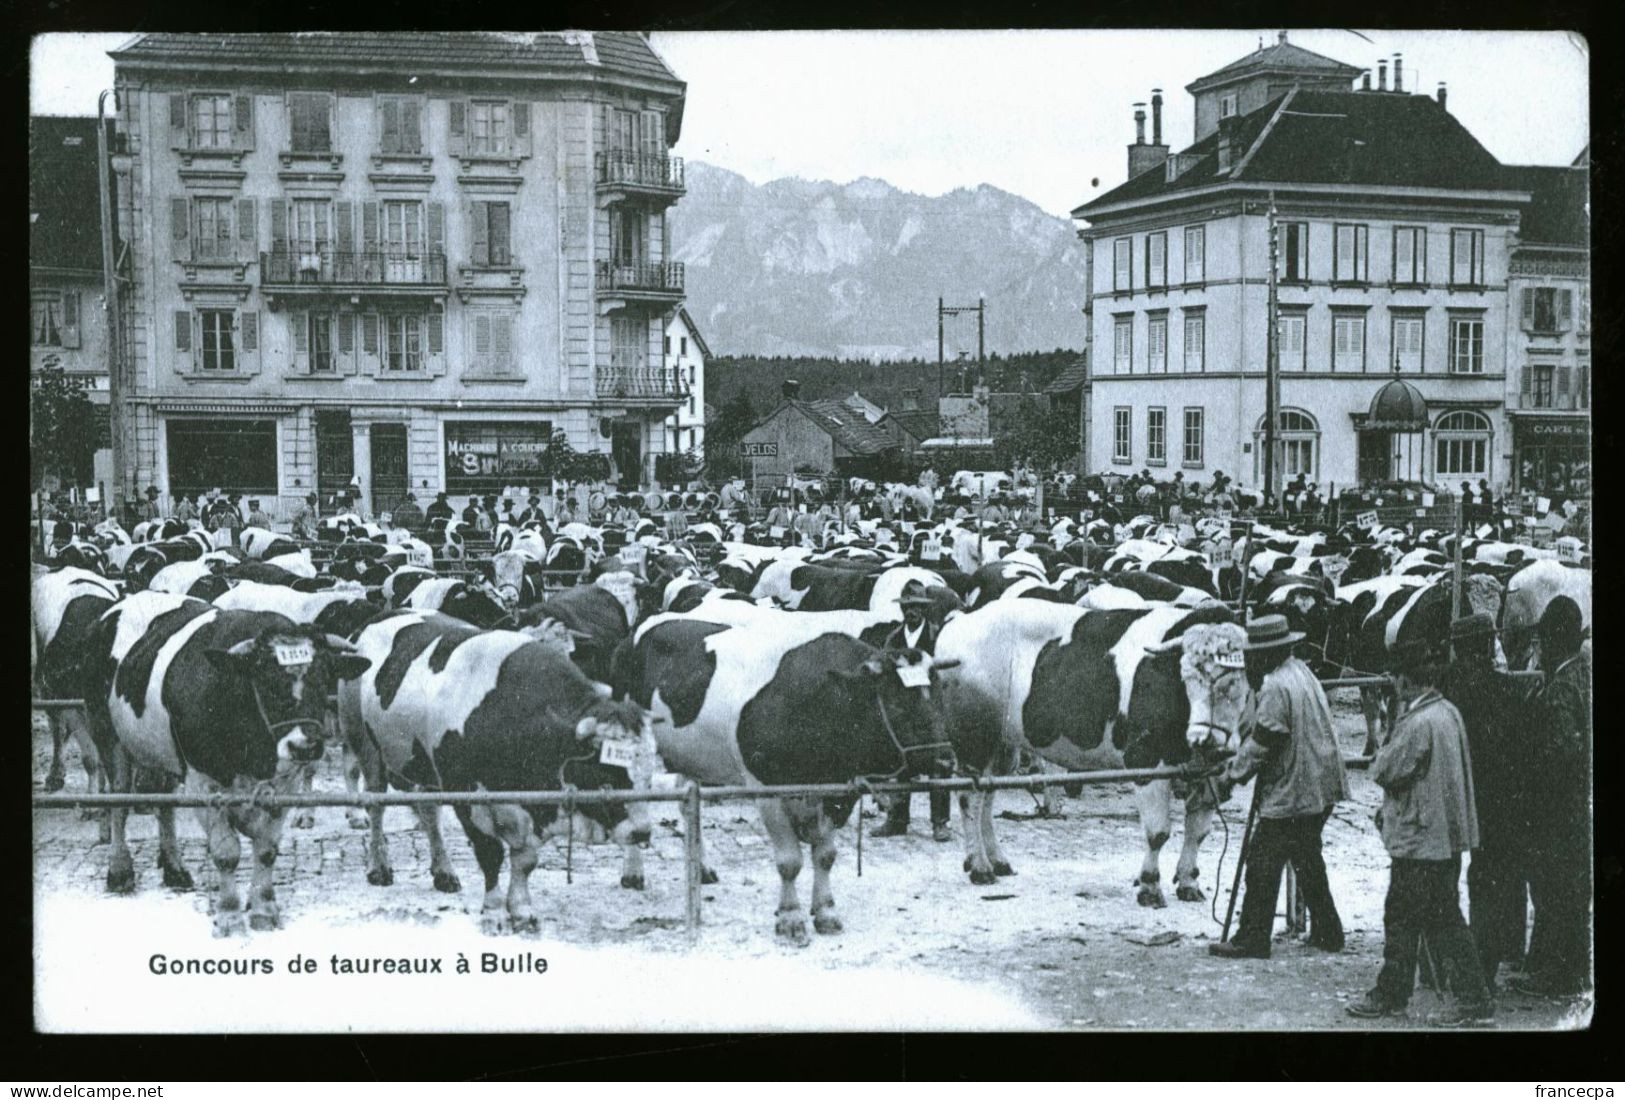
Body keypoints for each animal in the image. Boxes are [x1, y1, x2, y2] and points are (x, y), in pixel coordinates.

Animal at [81, 588, 368, 929]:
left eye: (324, 679)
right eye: (267, 681)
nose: (306, 747)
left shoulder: (285, 783)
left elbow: (267, 849)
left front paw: (263, 909)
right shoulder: (204, 781)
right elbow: (226, 852)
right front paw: (230, 914)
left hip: (161, 752)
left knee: (164, 803)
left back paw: (175, 868)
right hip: (107, 736)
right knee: (120, 803)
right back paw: (119, 870)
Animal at [339, 607, 663, 929]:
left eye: (648, 774)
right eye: (607, 771)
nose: (641, 832)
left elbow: (525, 860)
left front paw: (521, 908)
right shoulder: (466, 796)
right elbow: (490, 853)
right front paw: (494, 910)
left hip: (425, 768)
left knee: (430, 813)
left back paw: (444, 871)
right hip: (365, 744)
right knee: (376, 807)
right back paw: (379, 867)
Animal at [936, 601, 1248, 903]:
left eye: (1236, 680)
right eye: (1186, 676)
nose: (1204, 738)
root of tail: (962, 618)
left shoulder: (1214, 774)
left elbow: (1198, 831)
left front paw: (1188, 882)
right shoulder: (1146, 761)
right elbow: (1157, 832)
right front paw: (1149, 887)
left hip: (1002, 745)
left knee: (987, 796)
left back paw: (996, 860)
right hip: (973, 740)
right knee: (969, 797)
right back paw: (979, 867)